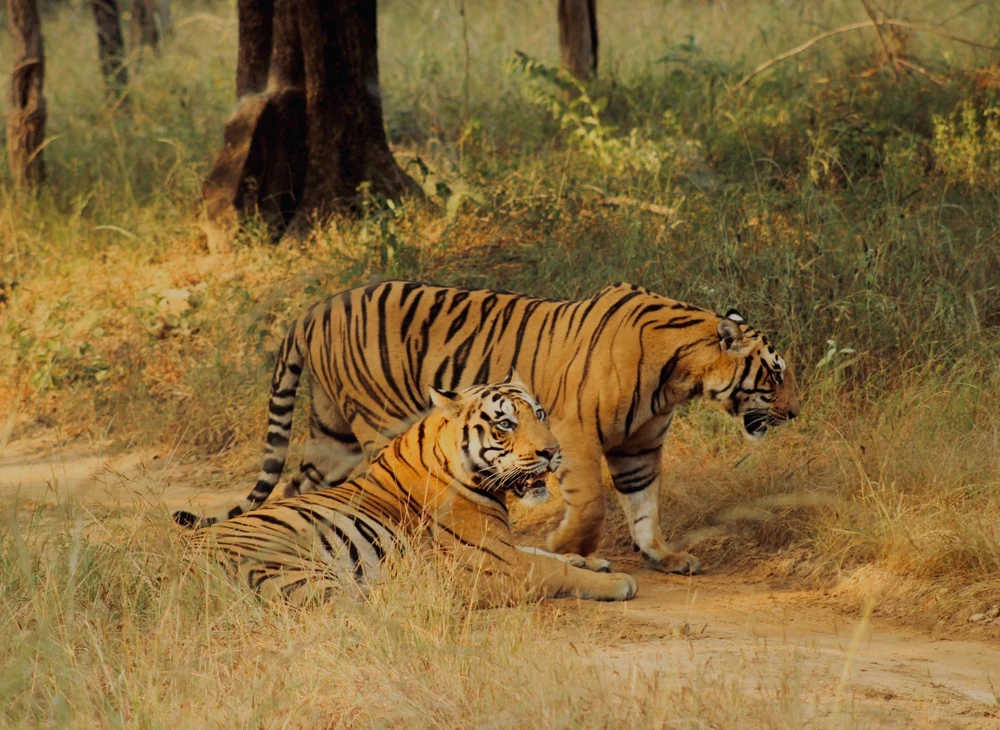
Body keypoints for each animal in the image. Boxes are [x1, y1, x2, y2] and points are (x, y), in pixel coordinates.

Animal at [174, 280, 800, 576]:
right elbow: (592, 502)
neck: (680, 374)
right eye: (774, 374)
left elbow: (644, 507)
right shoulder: (572, 431)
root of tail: (314, 308)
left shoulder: (639, 446)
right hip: (375, 421)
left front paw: (662, 556)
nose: (796, 413)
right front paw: (566, 548)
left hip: (333, 434)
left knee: (297, 485)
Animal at [180, 379, 638, 606]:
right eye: (506, 424)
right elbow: (551, 569)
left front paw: (590, 560)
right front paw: (617, 582)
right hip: (303, 568)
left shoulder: (506, 547)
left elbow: (545, 552)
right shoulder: (495, 562)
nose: (553, 452)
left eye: (539, 414)